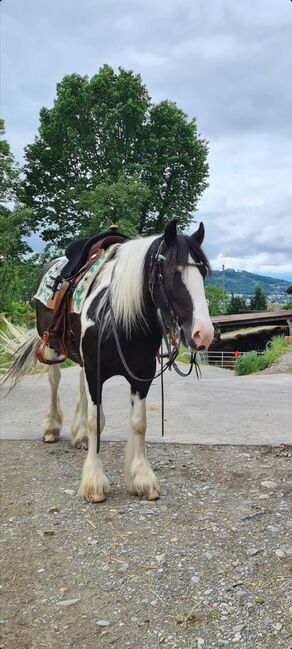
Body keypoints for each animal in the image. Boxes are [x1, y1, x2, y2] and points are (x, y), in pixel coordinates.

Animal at [6, 221, 214, 502]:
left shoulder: (141, 375)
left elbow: (138, 423)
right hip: (50, 346)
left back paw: (80, 436)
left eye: (202, 273)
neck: (117, 315)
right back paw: (51, 428)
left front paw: (142, 479)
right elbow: (95, 421)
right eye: (174, 272)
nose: (204, 334)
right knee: (54, 380)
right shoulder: (96, 371)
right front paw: (93, 482)